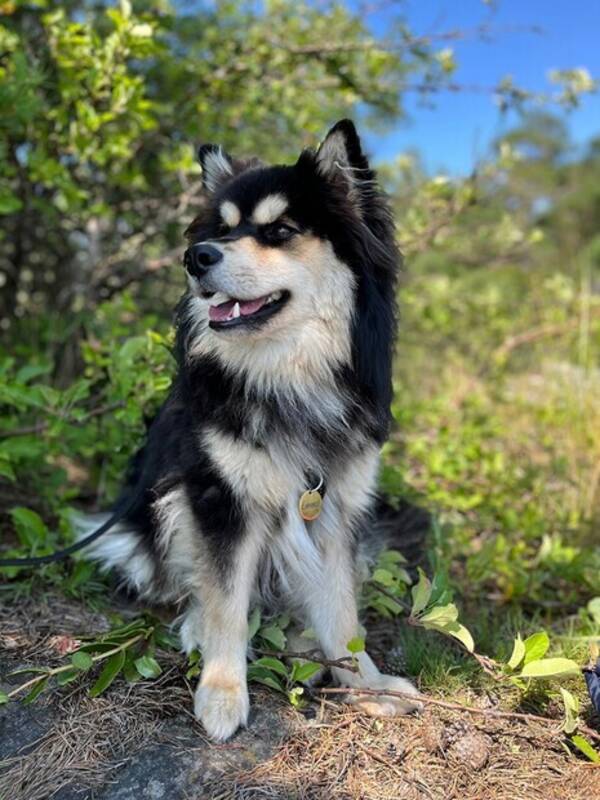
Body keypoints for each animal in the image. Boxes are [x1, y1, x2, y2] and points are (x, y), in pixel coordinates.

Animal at [81, 120, 422, 744]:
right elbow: (225, 603)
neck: (287, 376)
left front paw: (365, 684)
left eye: (279, 231)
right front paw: (222, 690)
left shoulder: (335, 508)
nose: (195, 257)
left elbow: (343, 610)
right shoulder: (219, 497)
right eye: (222, 230)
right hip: (166, 500)